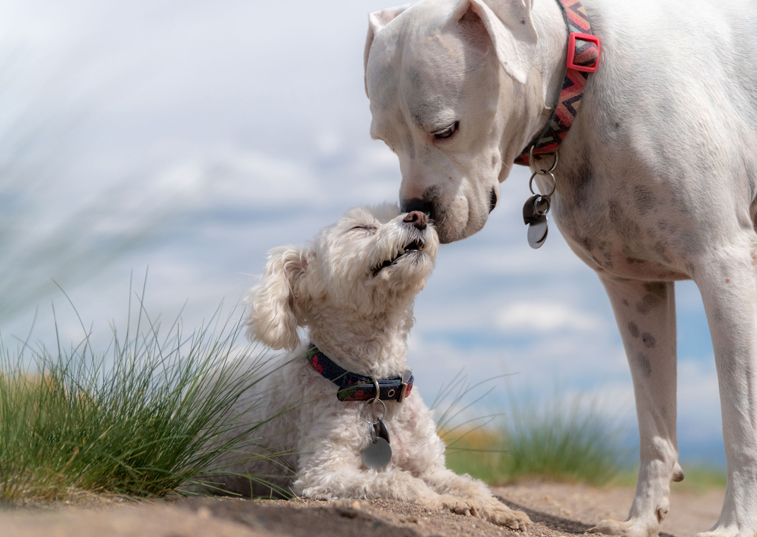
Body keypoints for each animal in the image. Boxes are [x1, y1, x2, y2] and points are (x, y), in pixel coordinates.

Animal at [204, 204, 528, 528]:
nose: (419, 216)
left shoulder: (430, 466)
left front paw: (500, 509)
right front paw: (448, 501)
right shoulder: (323, 473)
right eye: (360, 228)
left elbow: (470, 484)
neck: (375, 385)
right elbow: (401, 481)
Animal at [364, 1, 756, 536]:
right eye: (384, 141)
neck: (583, 75)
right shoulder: (635, 289)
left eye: (446, 130)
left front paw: (737, 524)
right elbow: (654, 419)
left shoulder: (725, 268)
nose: (416, 211)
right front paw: (639, 520)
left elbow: (741, 421)